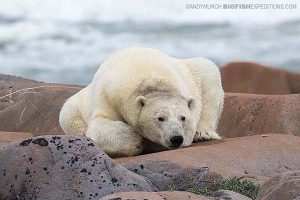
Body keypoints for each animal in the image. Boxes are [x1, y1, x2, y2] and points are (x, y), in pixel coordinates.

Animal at [59, 46, 223, 157]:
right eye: (160, 118)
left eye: (183, 118)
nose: (176, 138)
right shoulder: (107, 96)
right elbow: (98, 126)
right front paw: (136, 141)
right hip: (77, 106)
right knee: (67, 114)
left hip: (192, 70)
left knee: (208, 70)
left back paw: (203, 134)